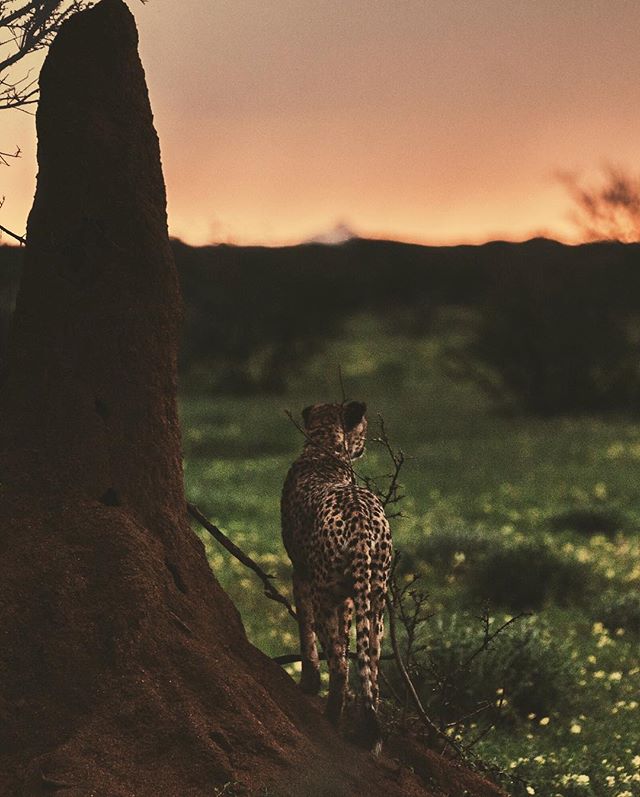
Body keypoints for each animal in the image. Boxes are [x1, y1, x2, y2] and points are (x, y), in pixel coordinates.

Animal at [282, 402, 392, 748]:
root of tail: (359, 518)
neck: (324, 447)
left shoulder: (301, 575)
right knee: (370, 667)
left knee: (341, 665)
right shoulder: (348, 597)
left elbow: (306, 633)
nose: (364, 446)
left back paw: (330, 718)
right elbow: (346, 642)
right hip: (376, 597)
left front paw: (308, 683)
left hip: (325, 594)